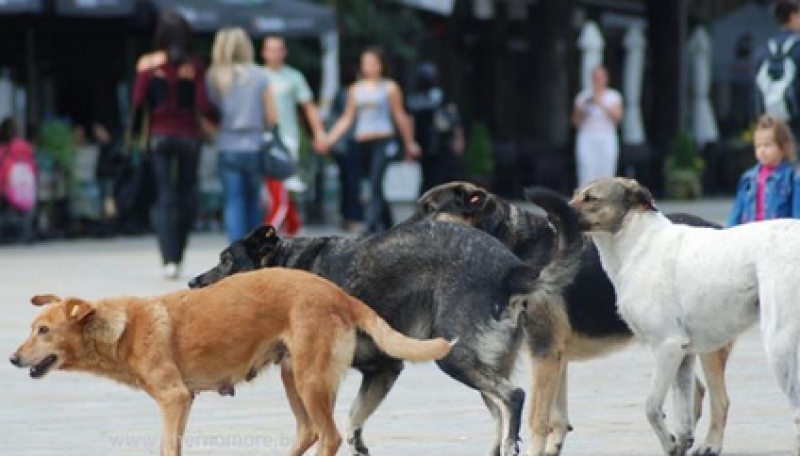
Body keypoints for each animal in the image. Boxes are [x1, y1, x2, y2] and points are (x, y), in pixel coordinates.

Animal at [9, 268, 454, 456]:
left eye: (43, 330)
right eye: (33, 328)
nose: (12, 358)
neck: (122, 328)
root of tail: (340, 295)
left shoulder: (173, 398)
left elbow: (167, 446)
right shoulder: (184, 401)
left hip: (310, 378)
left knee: (328, 436)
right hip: (293, 375)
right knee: (308, 431)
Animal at [190, 219, 572, 454]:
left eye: (226, 261)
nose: (192, 283)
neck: (286, 266)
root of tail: (510, 269)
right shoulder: (383, 369)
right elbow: (354, 417)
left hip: (455, 357)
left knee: (513, 397)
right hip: (481, 364)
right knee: (500, 413)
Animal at [412, 182, 732, 456]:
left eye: (430, 210)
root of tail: (721, 227)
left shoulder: (544, 351)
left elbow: (535, 417)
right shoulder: (551, 356)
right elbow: (550, 416)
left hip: (704, 346)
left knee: (721, 401)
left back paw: (710, 444)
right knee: (698, 392)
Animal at [564, 179, 800, 456]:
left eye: (591, 198)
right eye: (576, 194)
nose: (550, 215)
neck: (639, 244)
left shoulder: (668, 347)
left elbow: (652, 408)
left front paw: (669, 442)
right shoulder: (684, 355)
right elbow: (683, 420)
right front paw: (680, 443)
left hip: (777, 346)